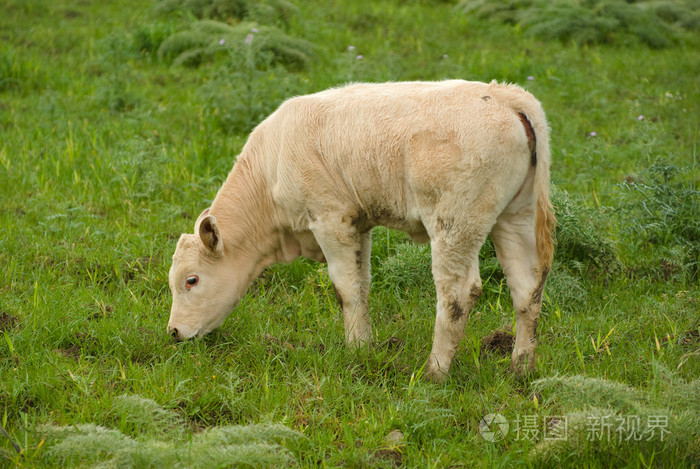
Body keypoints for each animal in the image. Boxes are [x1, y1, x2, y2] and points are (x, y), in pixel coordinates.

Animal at [167, 79, 556, 380]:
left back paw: (434, 372)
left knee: (457, 293)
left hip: (456, 223)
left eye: (191, 280)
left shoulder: (331, 218)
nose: (173, 332)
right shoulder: (359, 222)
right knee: (527, 288)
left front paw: (355, 350)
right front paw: (366, 345)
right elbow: (363, 283)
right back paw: (520, 369)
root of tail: (508, 96)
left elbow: (346, 288)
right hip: (515, 215)